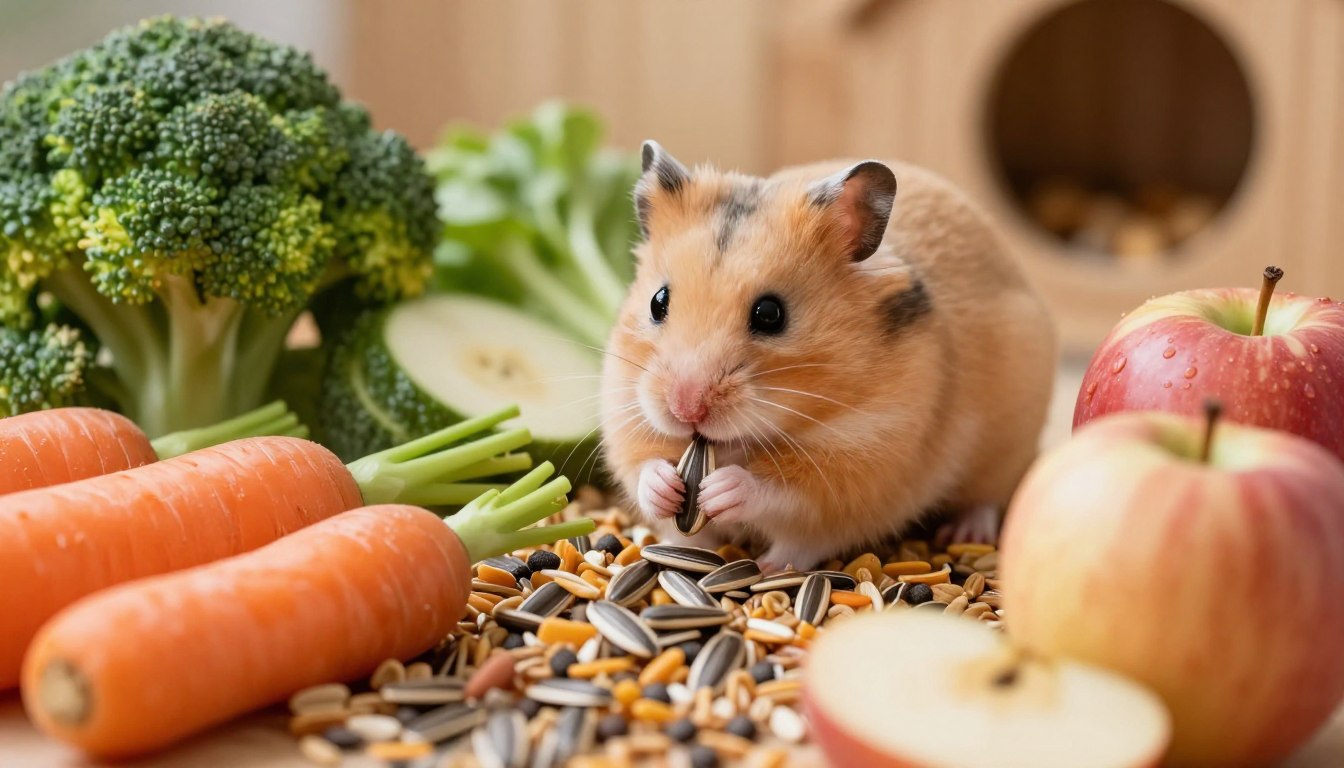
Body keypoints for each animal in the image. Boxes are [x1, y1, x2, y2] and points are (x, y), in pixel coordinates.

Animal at [598, 141, 1057, 572]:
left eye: (770, 314)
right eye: (658, 301)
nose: (685, 408)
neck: (739, 443)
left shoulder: (858, 465)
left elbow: (782, 493)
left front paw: (721, 490)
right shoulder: (625, 413)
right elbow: (644, 470)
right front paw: (666, 488)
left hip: (1005, 448)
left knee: (988, 498)